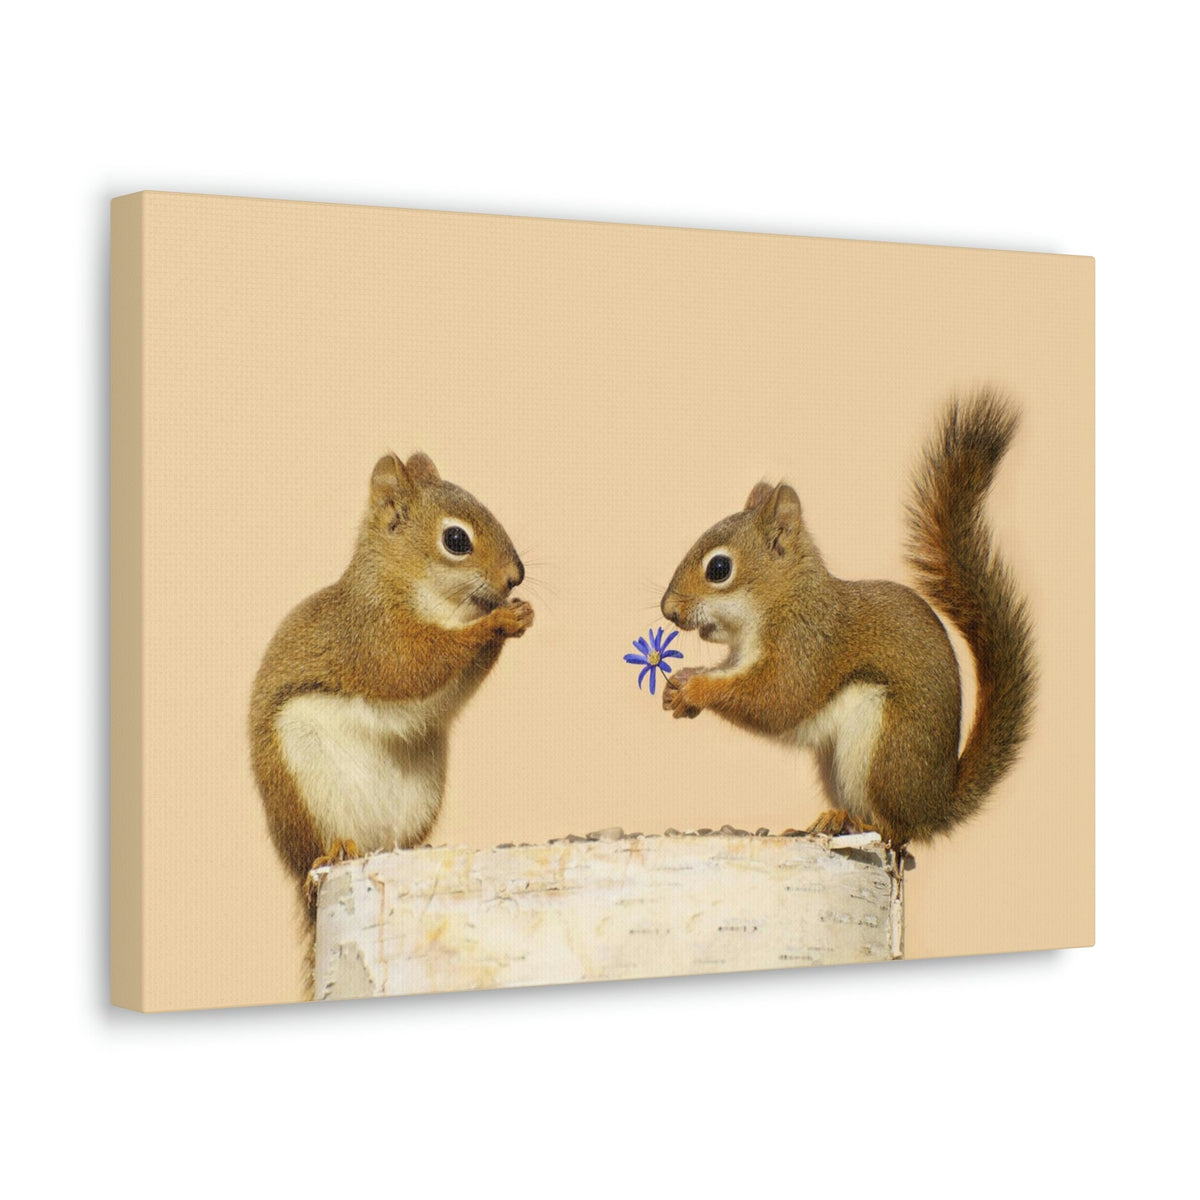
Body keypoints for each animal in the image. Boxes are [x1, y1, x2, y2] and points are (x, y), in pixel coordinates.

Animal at [249, 451, 532, 893]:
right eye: (456, 540)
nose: (514, 577)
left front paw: (520, 614)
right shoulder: (373, 635)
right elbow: (414, 666)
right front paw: (497, 621)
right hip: (306, 781)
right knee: (323, 844)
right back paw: (337, 849)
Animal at [660, 389, 1036, 846]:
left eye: (718, 569)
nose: (668, 610)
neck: (782, 601)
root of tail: (934, 807)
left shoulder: (807, 645)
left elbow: (777, 698)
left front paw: (695, 689)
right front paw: (677, 688)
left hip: (882, 749)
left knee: (895, 830)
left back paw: (858, 823)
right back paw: (829, 820)